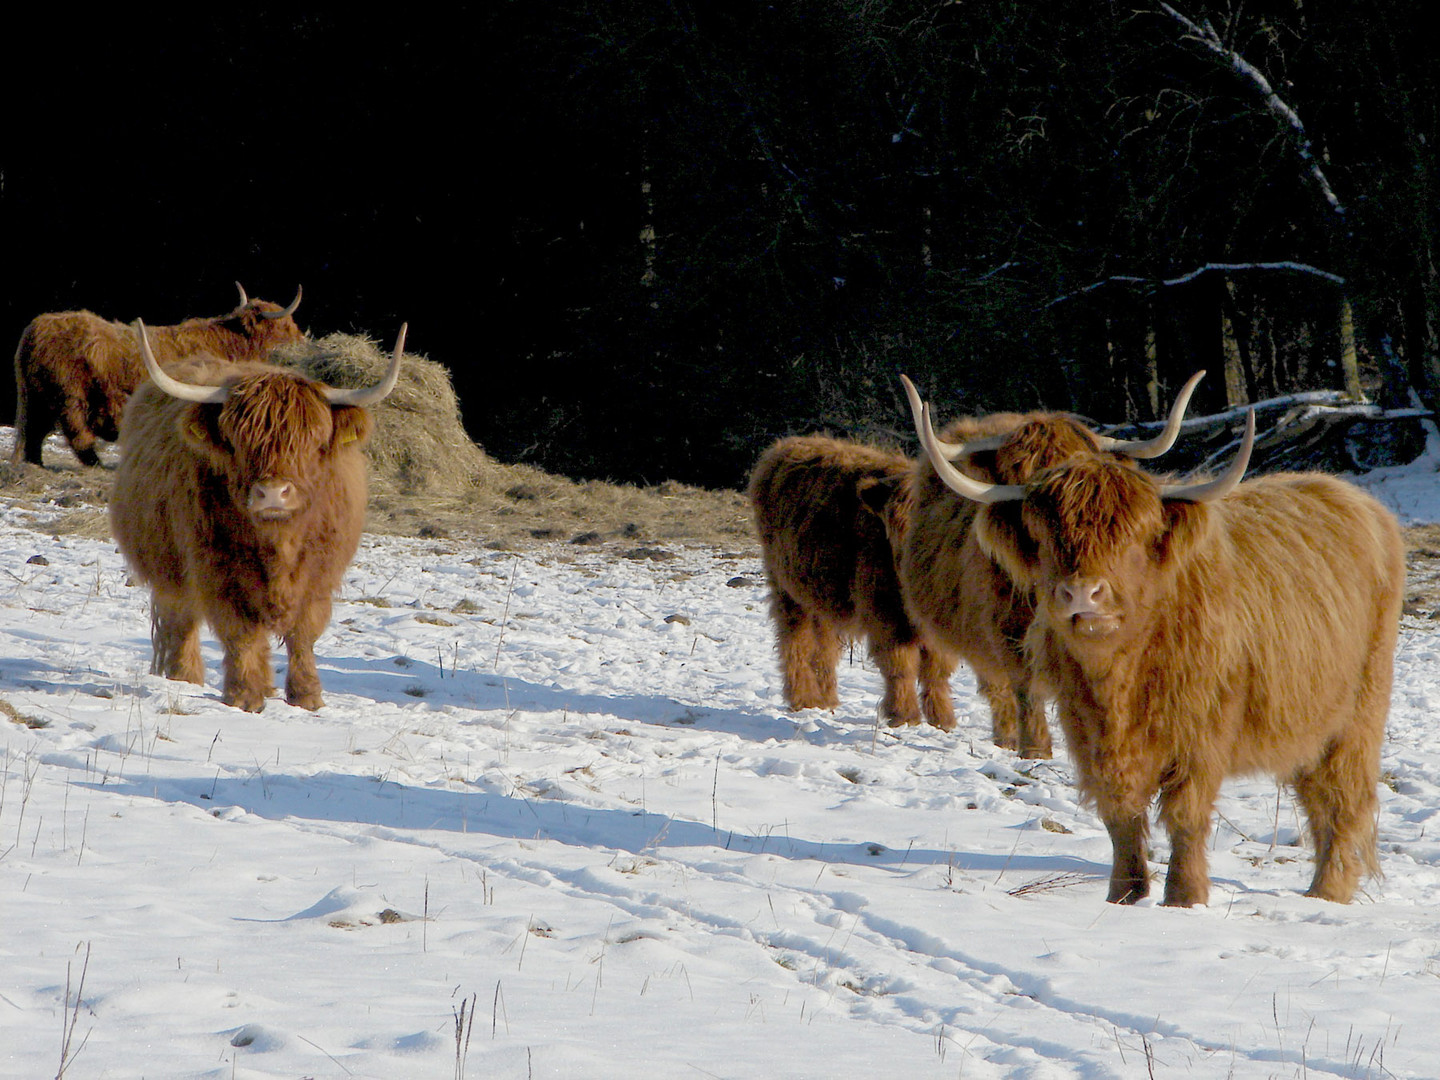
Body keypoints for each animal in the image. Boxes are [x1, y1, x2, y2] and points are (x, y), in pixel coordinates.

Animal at [11, 280, 305, 466]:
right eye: (285, 326)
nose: (303, 340)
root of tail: (38, 326)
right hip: (70, 394)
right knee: (75, 430)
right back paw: (94, 462)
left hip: (37, 397)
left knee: (34, 432)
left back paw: (36, 464)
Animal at [108, 316, 403, 714]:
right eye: (238, 440)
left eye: (313, 438)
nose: (272, 493)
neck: (279, 543)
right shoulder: (217, 570)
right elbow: (241, 632)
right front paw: (244, 696)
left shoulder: (320, 574)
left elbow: (303, 633)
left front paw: (307, 695)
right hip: (167, 563)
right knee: (181, 617)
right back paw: (185, 676)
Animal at [748, 434, 961, 731]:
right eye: (893, 526)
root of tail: (786, 445)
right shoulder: (885, 614)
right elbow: (901, 666)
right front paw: (904, 716)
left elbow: (938, 671)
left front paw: (942, 719)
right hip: (786, 589)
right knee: (795, 643)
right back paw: (803, 699)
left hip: (821, 593)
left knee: (824, 647)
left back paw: (826, 699)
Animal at [892, 377, 1198, 754]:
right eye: (1017, 472)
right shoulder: (1007, 627)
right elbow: (1025, 686)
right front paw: (1035, 748)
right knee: (997, 687)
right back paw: (1007, 738)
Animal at [910, 394, 1405, 910]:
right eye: (1044, 537)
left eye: (1132, 536)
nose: (1082, 594)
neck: (1121, 675)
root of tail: (1350, 496)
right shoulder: (1088, 732)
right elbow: (1119, 813)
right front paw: (1124, 896)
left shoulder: (1201, 730)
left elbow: (1185, 813)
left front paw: (1184, 899)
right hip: (1309, 714)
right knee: (1318, 796)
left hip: (1359, 712)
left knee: (1345, 797)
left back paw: (1329, 892)